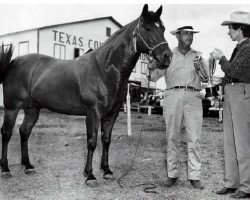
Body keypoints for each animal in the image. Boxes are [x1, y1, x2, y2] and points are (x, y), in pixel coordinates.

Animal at [0, 4, 172, 186]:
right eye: (147, 28)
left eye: (163, 29)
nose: (167, 56)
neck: (104, 69)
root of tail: (14, 62)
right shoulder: (92, 112)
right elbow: (92, 141)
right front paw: (90, 175)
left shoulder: (112, 113)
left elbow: (106, 140)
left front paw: (106, 170)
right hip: (12, 107)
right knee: (6, 133)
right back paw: (5, 169)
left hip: (32, 109)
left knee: (24, 131)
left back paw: (27, 165)